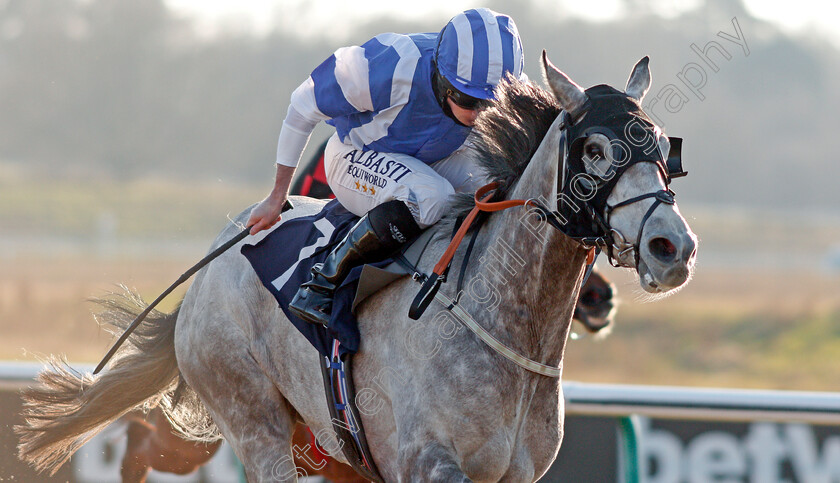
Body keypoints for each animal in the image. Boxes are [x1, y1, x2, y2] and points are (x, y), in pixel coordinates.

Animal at [16, 51, 700, 482]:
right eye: (595, 148)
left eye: (663, 147)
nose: (673, 248)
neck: (507, 327)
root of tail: (218, 258)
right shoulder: (428, 463)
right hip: (253, 419)